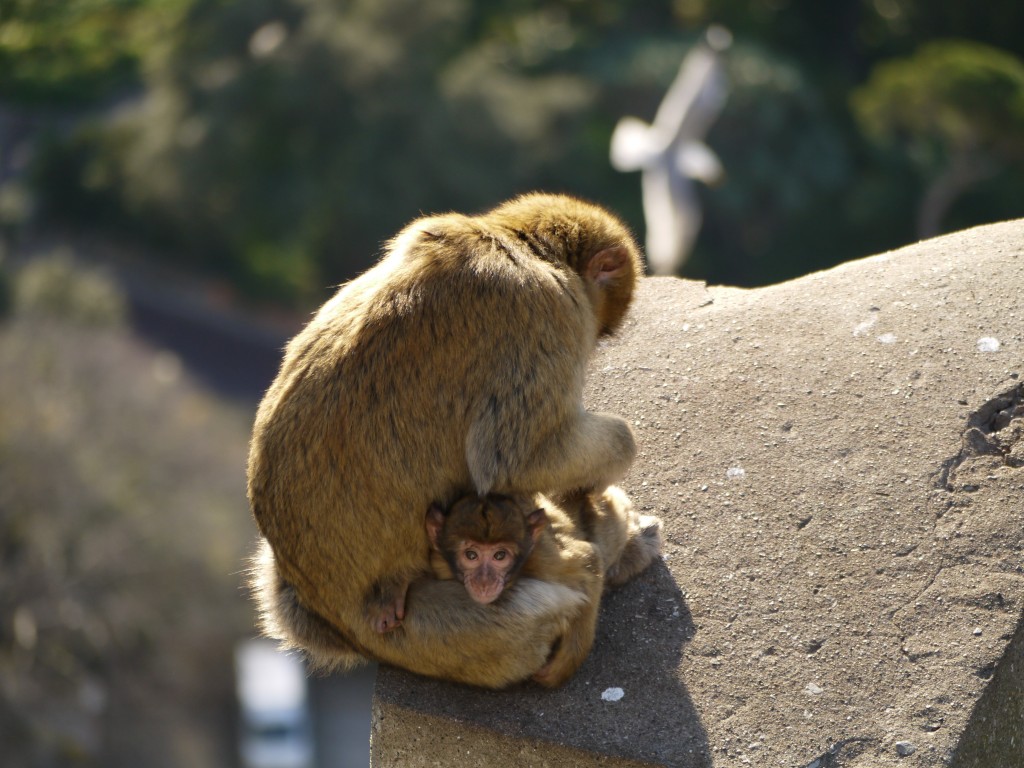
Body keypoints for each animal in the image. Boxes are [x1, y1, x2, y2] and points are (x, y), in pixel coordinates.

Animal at [249, 193, 638, 692]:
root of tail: (340, 622)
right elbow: (516, 461)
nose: (597, 343)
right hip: (458, 632)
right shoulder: (547, 314)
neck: (516, 242)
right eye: (598, 331)